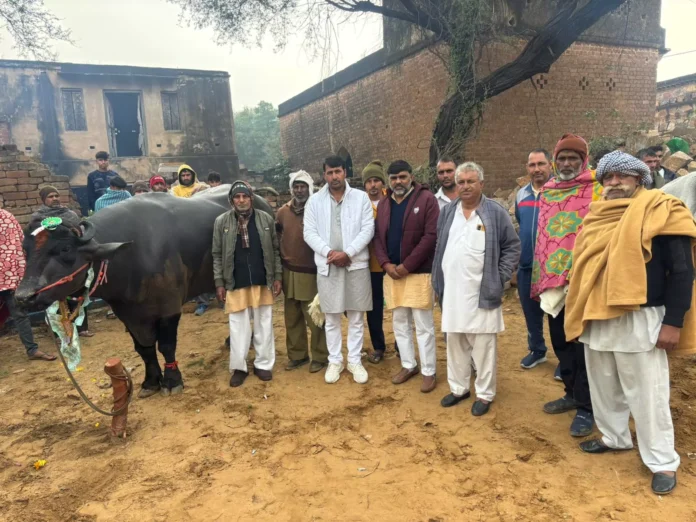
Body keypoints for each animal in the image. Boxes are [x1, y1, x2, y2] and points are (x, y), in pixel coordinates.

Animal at [16, 185, 272, 396]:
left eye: (65, 248)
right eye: (25, 249)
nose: (24, 296)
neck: (132, 255)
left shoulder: (169, 307)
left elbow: (166, 346)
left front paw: (172, 380)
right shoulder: (128, 313)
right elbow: (144, 348)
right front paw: (150, 381)